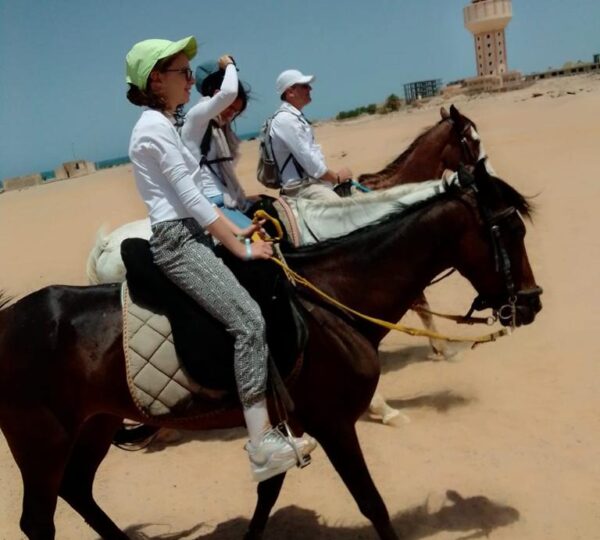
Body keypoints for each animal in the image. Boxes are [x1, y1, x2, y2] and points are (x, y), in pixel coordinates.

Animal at [0, 161, 544, 540]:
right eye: (512, 229)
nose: (531, 303)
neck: (331, 299)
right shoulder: (333, 424)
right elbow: (373, 504)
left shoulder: (291, 423)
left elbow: (268, 494)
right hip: (41, 441)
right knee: (39, 520)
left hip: (96, 423)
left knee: (77, 489)